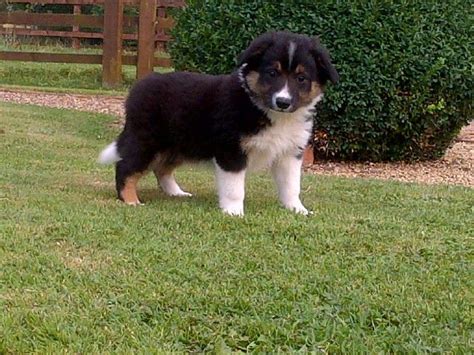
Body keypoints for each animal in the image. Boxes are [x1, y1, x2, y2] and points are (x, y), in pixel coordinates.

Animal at [98, 31, 338, 217]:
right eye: (272, 73)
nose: (283, 102)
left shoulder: (290, 153)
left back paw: (176, 192)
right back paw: (131, 200)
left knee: (161, 169)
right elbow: (234, 188)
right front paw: (234, 212)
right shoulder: (231, 151)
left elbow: (291, 186)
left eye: (301, 78)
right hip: (147, 140)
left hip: (178, 146)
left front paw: (298, 210)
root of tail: (138, 88)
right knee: (125, 167)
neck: (264, 109)